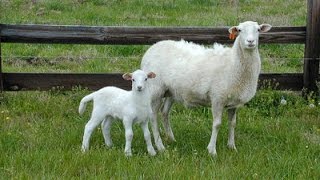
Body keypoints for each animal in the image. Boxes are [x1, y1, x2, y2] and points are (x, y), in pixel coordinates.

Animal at [141, 21, 272, 156]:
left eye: (258, 30)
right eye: (239, 30)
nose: (250, 41)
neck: (232, 63)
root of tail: (153, 47)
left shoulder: (233, 102)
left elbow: (233, 123)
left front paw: (232, 147)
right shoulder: (217, 98)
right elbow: (217, 124)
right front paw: (212, 150)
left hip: (171, 91)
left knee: (164, 112)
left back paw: (171, 139)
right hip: (156, 89)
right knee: (153, 117)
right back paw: (160, 146)